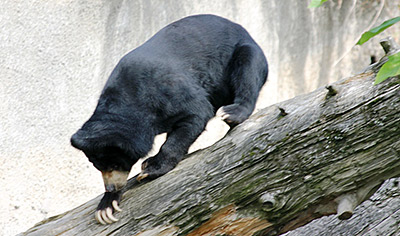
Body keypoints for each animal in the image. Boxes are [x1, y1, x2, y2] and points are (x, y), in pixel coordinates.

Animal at [71, 13, 268, 224]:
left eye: (116, 164)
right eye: (97, 166)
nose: (111, 187)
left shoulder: (168, 91)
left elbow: (197, 112)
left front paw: (150, 168)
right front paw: (106, 207)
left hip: (243, 53)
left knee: (247, 71)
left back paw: (232, 113)